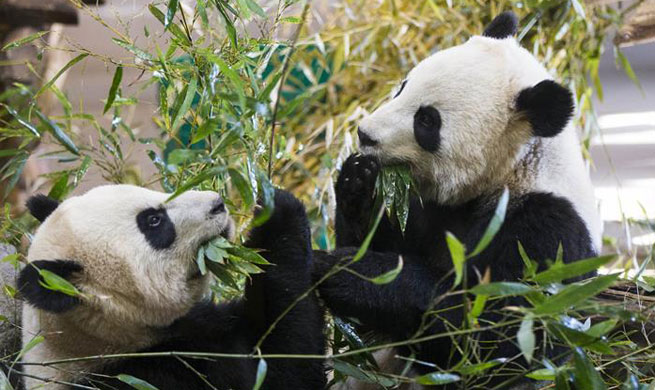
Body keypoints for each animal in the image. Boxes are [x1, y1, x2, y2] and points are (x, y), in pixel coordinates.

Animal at [316, 10, 604, 388]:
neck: (515, 166)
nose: (365, 134)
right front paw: (358, 181)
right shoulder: (426, 207)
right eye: (403, 87)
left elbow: (497, 341)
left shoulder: (547, 231)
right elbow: (362, 333)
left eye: (426, 120)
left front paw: (351, 273)